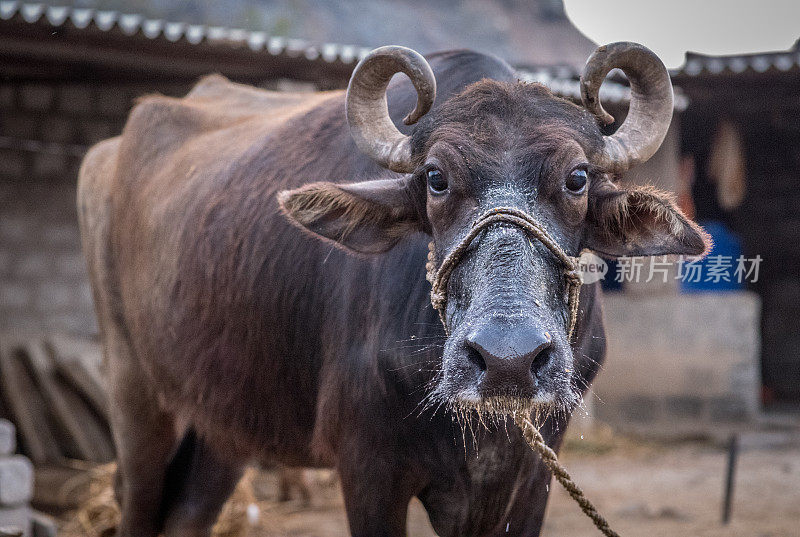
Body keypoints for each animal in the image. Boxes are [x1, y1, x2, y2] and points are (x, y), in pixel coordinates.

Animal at [78, 43, 708, 536]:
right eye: (436, 178)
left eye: (577, 179)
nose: (508, 359)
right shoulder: (368, 470)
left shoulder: (532, 478)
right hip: (133, 391)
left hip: (225, 417)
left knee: (187, 514)